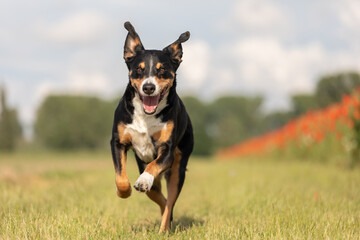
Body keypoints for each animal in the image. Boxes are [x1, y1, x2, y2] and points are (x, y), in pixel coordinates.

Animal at [110, 22, 194, 232]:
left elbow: (154, 165)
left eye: (162, 69)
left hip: (178, 169)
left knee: (170, 201)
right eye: (138, 70)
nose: (149, 87)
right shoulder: (117, 142)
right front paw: (123, 192)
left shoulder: (167, 150)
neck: (145, 116)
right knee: (162, 200)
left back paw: (164, 229)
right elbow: (120, 176)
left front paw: (142, 181)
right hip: (152, 181)